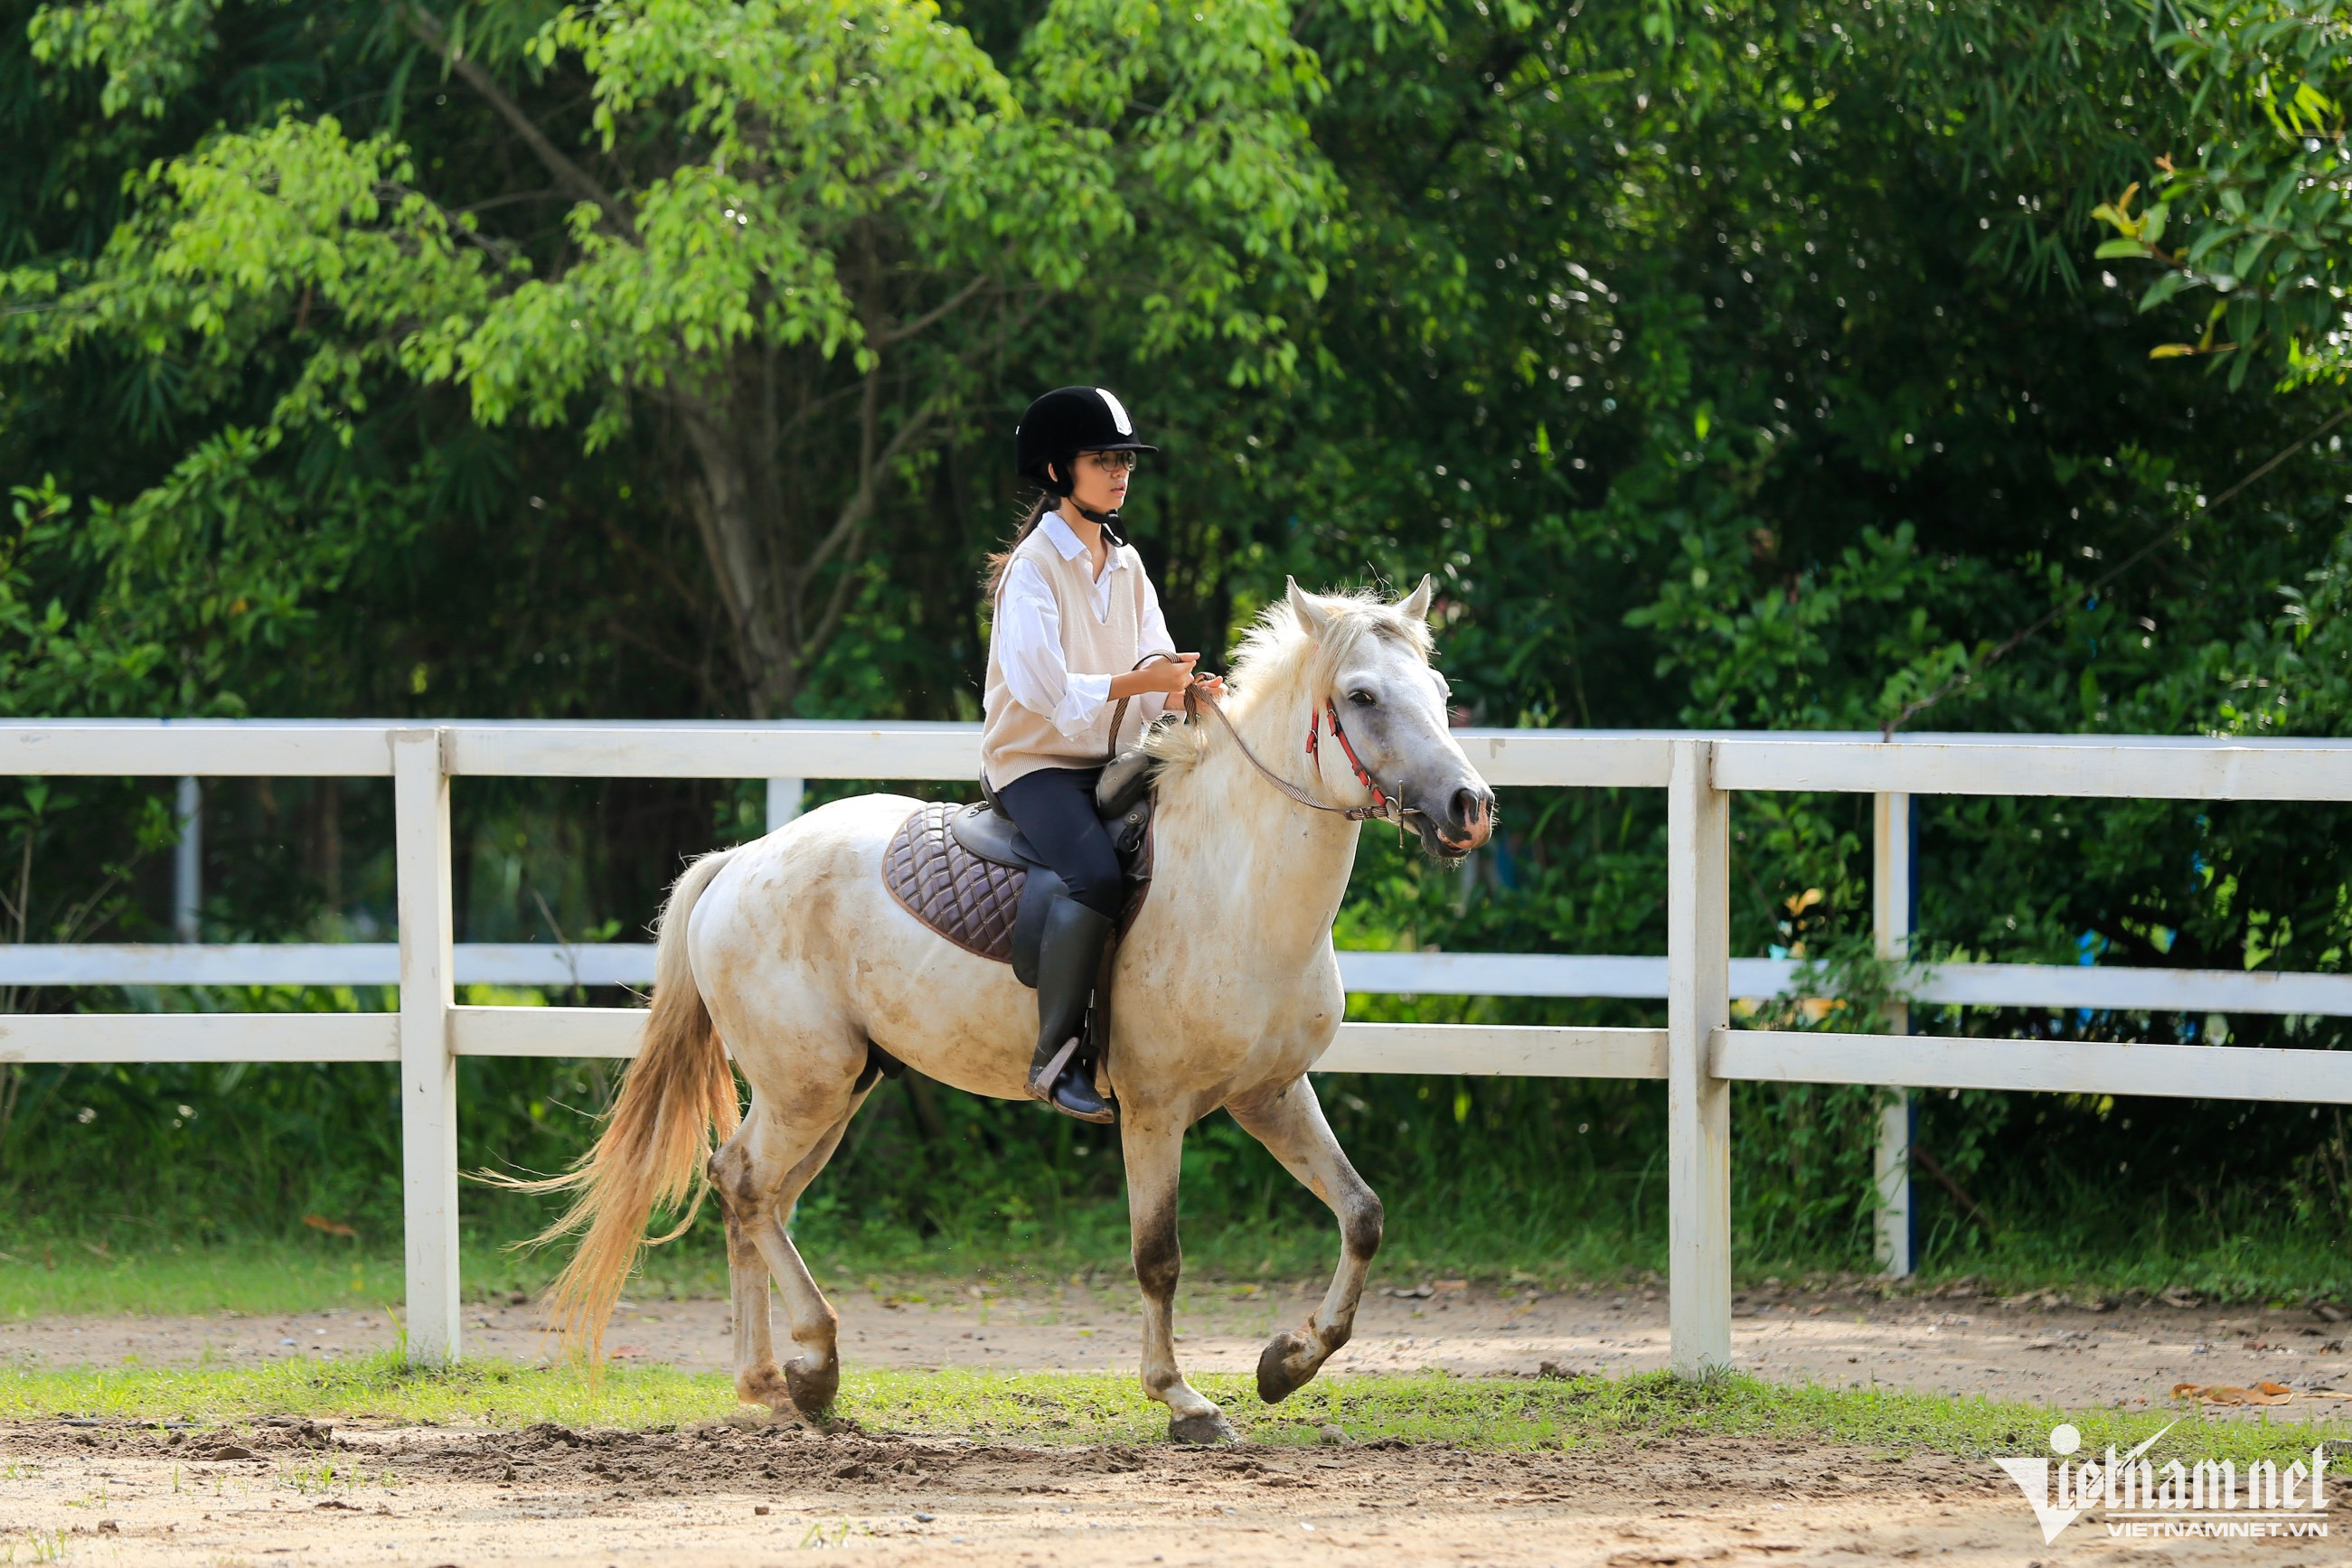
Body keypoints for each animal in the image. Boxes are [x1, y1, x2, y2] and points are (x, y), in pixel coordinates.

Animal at [529, 580, 1486, 1448]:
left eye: (1440, 691)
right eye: (1362, 696)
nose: (1469, 807)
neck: (1236, 880)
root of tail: (739, 861)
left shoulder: (1272, 1094)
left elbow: (1362, 1213)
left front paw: (1286, 1362)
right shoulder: (1153, 1110)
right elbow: (1158, 1256)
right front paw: (1184, 1399)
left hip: (831, 1093)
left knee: (756, 1196)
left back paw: (774, 1380)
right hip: (808, 1087)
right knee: (744, 1183)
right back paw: (815, 1363)